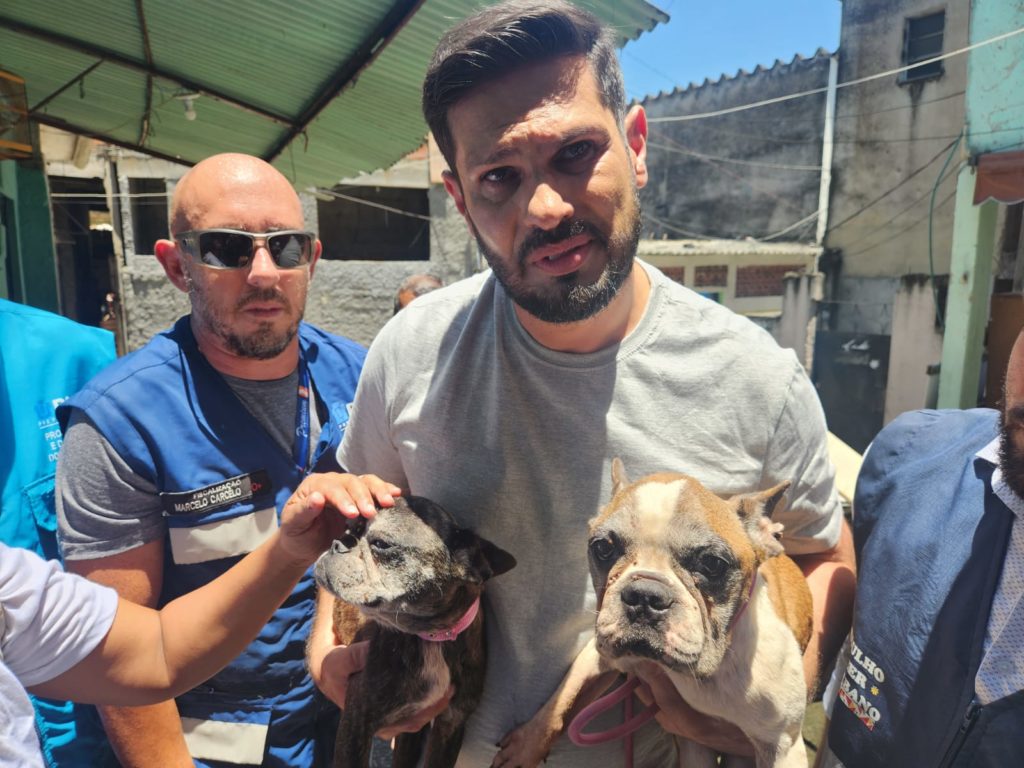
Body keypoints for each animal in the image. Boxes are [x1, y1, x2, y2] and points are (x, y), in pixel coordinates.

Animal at [313, 494, 516, 768]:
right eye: (349, 528)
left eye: (381, 544)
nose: (338, 543)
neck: (433, 637)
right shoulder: (355, 724)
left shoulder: (451, 724)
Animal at [494, 459, 812, 768]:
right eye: (603, 547)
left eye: (712, 563)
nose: (644, 596)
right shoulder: (600, 654)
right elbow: (565, 695)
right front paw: (526, 745)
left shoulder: (782, 745)